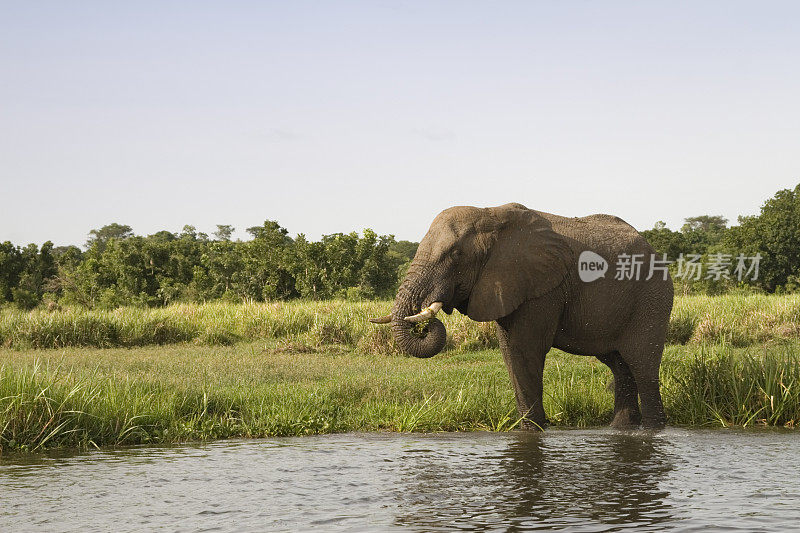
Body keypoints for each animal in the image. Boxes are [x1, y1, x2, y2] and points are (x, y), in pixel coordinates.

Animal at [372, 203, 672, 428]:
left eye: (456, 254)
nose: (424, 325)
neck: (490, 214)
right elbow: (510, 351)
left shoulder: (540, 288)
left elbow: (525, 349)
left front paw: (534, 431)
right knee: (620, 365)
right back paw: (621, 429)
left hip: (652, 300)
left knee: (642, 365)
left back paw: (653, 429)